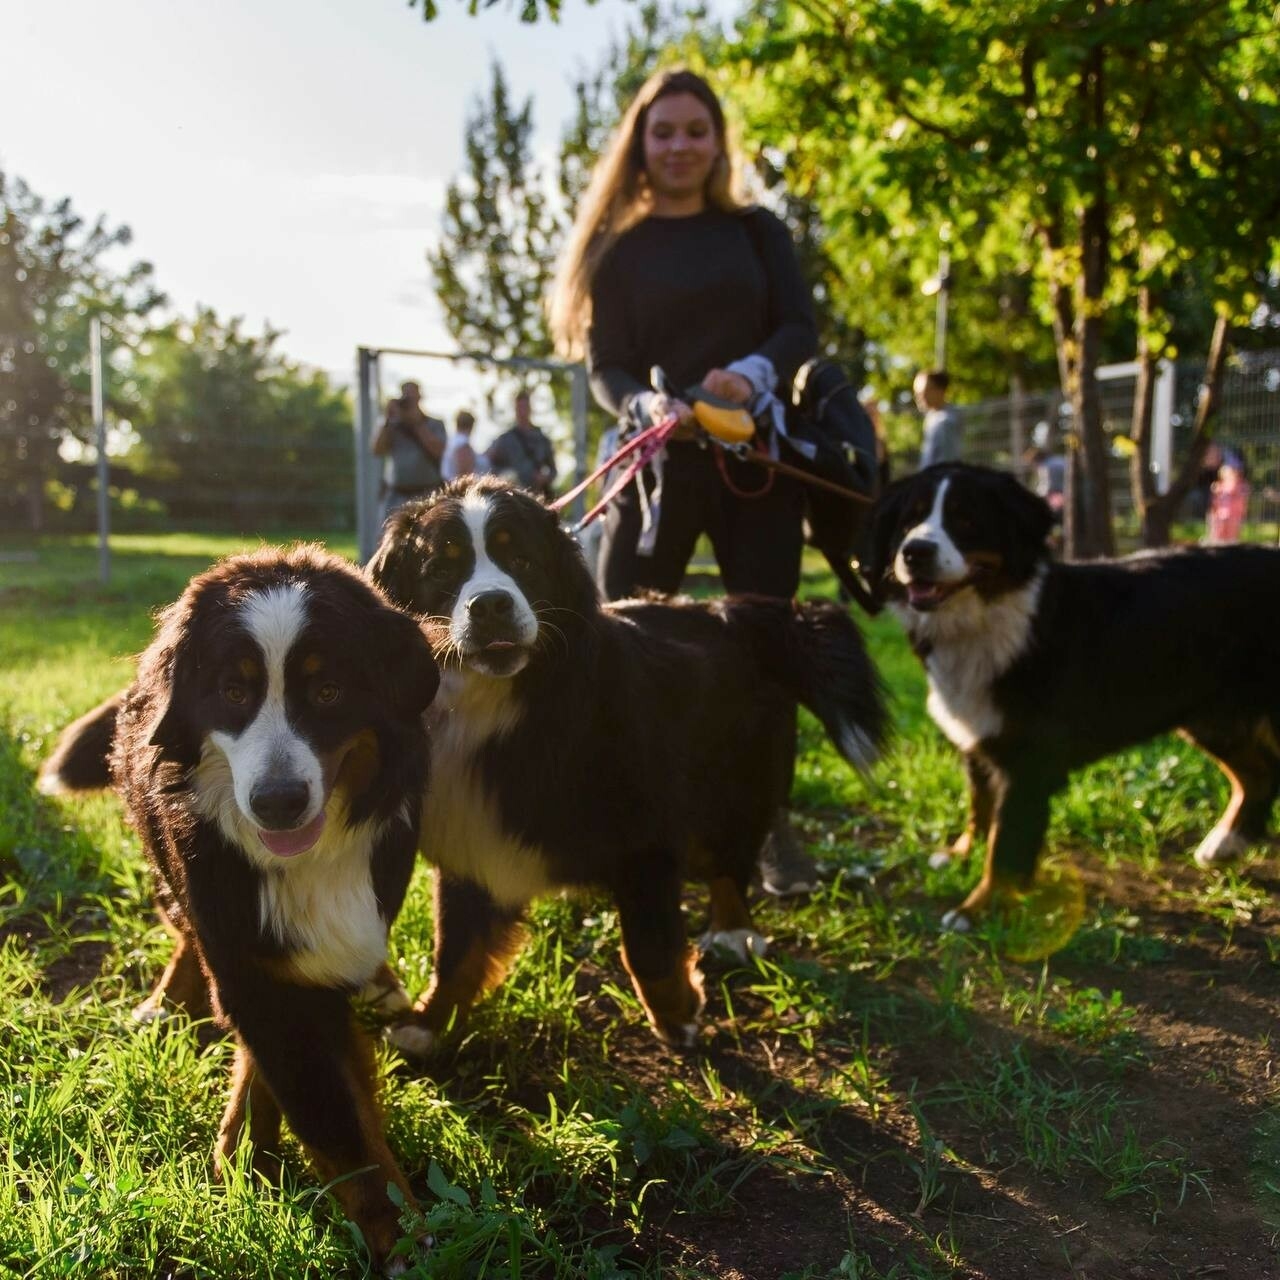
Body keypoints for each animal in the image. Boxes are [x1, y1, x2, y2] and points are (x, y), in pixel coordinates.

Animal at [40, 545, 440, 1274]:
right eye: (234, 693)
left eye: (328, 692)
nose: (278, 802)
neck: (305, 862)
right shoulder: (241, 947)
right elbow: (333, 1121)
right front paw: (399, 1235)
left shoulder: (323, 954)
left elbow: (325, 1084)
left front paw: (248, 1144)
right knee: (183, 933)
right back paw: (166, 1001)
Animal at [368, 476, 890, 1054]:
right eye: (443, 567)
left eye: (522, 560)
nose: (490, 606)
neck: (503, 705)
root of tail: (728, 610)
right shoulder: (472, 836)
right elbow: (456, 949)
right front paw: (427, 1023)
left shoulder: (645, 836)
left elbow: (649, 946)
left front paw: (677, 1015)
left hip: (734, 782)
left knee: (730, 862)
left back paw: (732, 930)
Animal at [860, 460, 1280, 931]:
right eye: (908, 521)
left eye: (965, 520)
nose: (915, 551)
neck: (993, 617)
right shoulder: (978, 736)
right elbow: (979, 805)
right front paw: (960, 853)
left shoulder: (1026, 760)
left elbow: (1004, 846)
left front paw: (979, 907)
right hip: (1213, 717)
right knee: (1260, 774)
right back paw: (1226, 842)